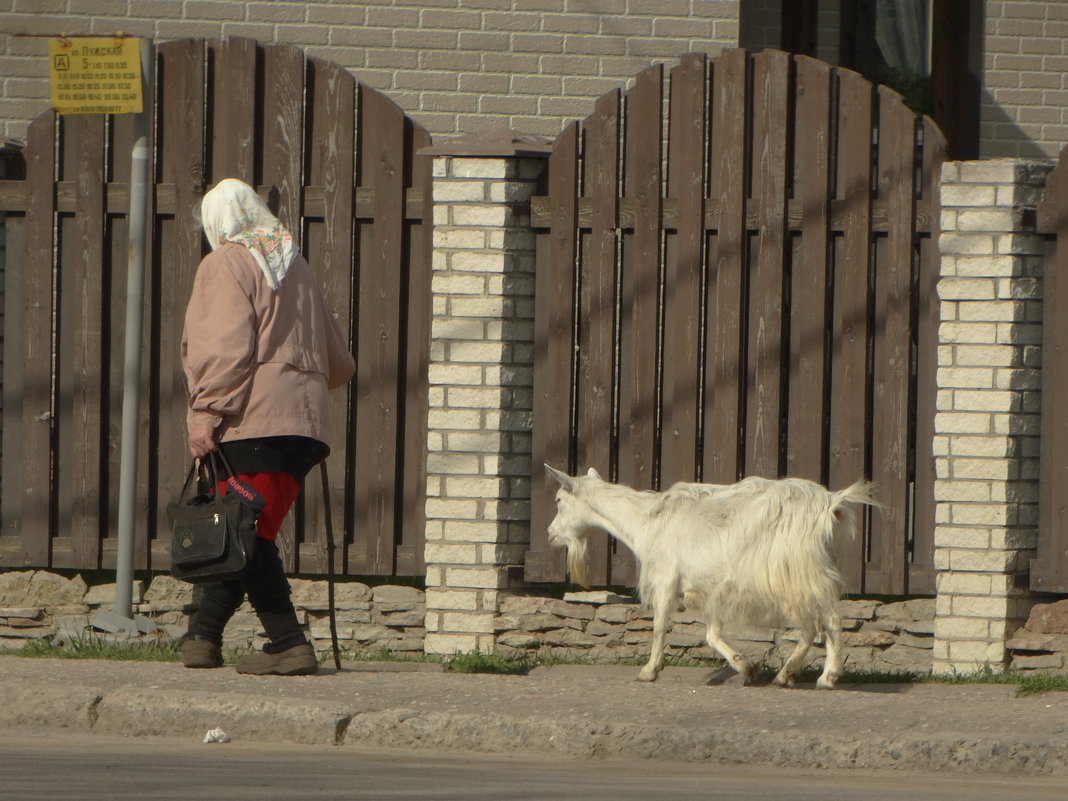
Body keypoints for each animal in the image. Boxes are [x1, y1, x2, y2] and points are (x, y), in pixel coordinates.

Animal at [546, 467, 880, 692]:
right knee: (818, 623)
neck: (646, 520)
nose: (550, 534)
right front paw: (746, 667)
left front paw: (649, 670)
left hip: (795, 572)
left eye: (559, 499)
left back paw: (821, 676)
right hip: (814, 570)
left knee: (822, 622)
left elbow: (661, 625)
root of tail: (832, 504)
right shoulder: (712, 587)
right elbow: (711, 633)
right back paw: (794, 674)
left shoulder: (667, 577)